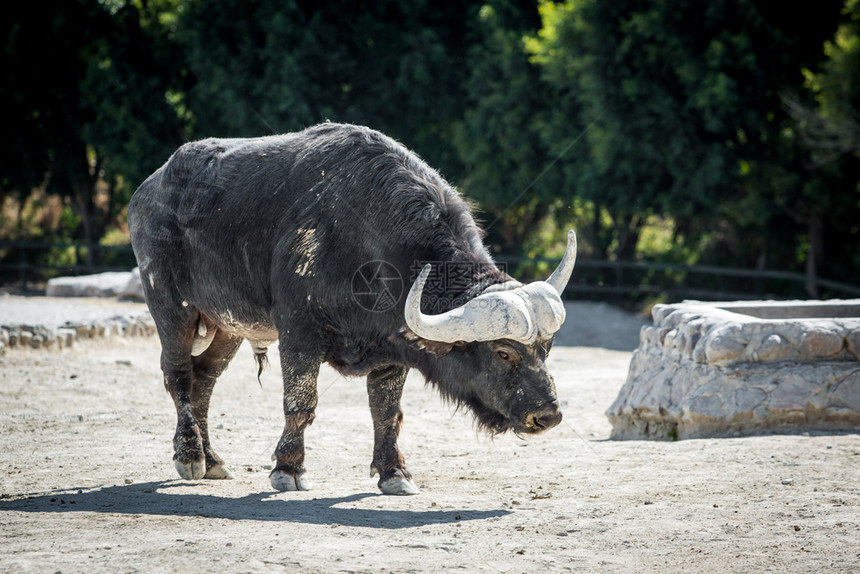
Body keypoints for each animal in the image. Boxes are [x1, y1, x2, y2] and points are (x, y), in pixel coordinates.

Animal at [127, 124, 576, 498]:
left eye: (547, 348)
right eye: (503, 352)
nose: (548, 415)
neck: (369, 241)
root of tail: (146, 193)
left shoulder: (392, 352)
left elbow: (387, 413)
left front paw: (394, 473)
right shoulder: (299, 332)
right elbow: (300, 403)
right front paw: (288, 469)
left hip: (227, 325)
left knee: (204, 380)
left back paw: (213, 461)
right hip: (171, 306)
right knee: (178, 375)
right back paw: (190, 457)